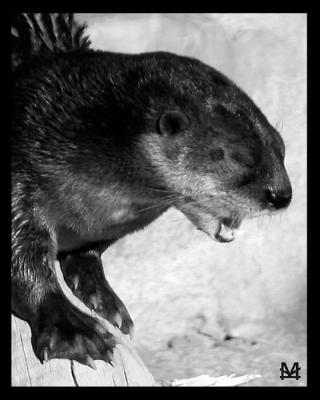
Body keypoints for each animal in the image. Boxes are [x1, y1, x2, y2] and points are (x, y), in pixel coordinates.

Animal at [11, 13, 292, 368]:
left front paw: (104, 298)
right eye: (240, 157)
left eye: (281, 149)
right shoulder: (20, 167)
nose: (282, 195)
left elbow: (87, 253)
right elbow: (24, 260)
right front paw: (73, 330)